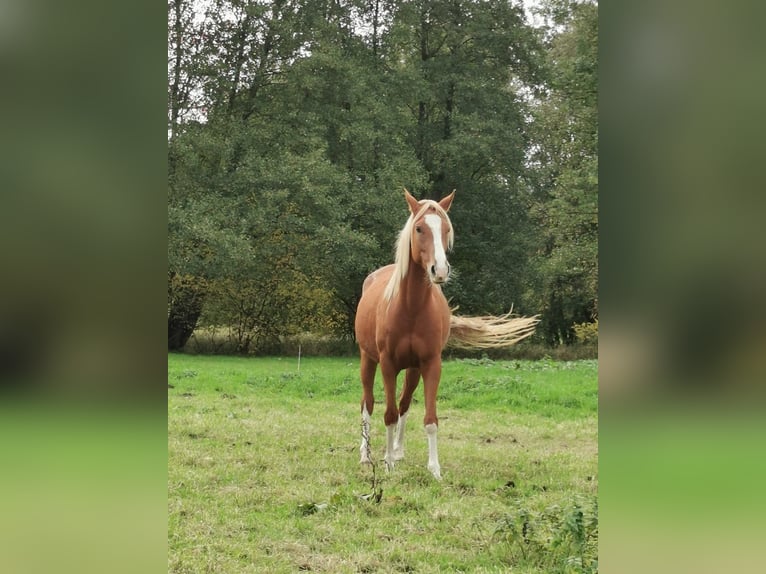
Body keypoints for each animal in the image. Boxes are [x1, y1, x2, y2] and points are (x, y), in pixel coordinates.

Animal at [356, 190, 540, 482]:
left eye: (446, 229)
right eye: (419, 228)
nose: (440, 270)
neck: (410, 307)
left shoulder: (431, 364)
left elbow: (429, 419)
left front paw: (433, 469)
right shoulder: (387, 364)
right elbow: (389, 414)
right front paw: (388, 464)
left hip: (412, 369)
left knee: (404, 403)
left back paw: (398, 450)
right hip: (368, 359)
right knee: (368, 403)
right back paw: (366, 455)